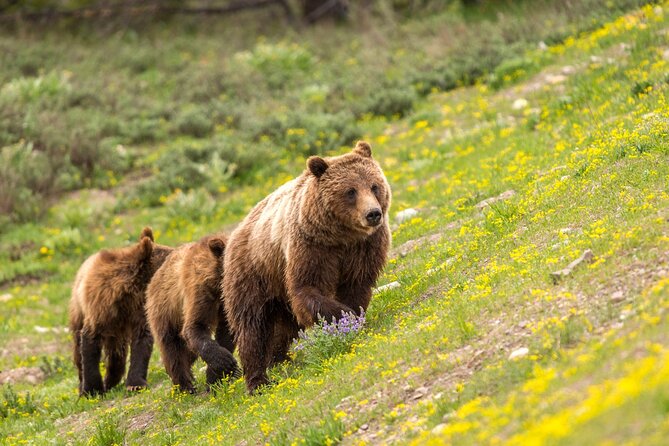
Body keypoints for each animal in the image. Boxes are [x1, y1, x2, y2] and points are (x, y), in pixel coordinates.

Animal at [67, 228, 172, 396]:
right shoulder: (99, 308)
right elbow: (89, 343)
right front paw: (91, 389)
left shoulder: (138, 311)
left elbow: (141, 343)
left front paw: (135, 384)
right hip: (79, 309)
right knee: (78, 346)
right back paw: (85, 382)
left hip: (116, 331)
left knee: (117, 353)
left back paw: (111, 380)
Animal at [145, 235, 239, 392]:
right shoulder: (199, 290)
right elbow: (195, 326)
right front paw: (224, 361)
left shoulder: (225, 302)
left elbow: (226, 332)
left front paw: (215, 377)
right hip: (165, 312)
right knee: (172, 350)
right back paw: (185, 387)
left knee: (187, 352)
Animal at [223, 141, 388, 392]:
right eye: (350, 191)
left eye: (374, 186)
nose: (373, 214)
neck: (342, 237)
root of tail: (238, 229)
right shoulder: (311, 247)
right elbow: (308, 288)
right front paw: (344, 317)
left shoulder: (364, 248)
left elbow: (357, 285)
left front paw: (353, 318)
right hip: (253, 272)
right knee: (252, 326)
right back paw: (258, 380)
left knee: (282, 326)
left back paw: (279, 358)